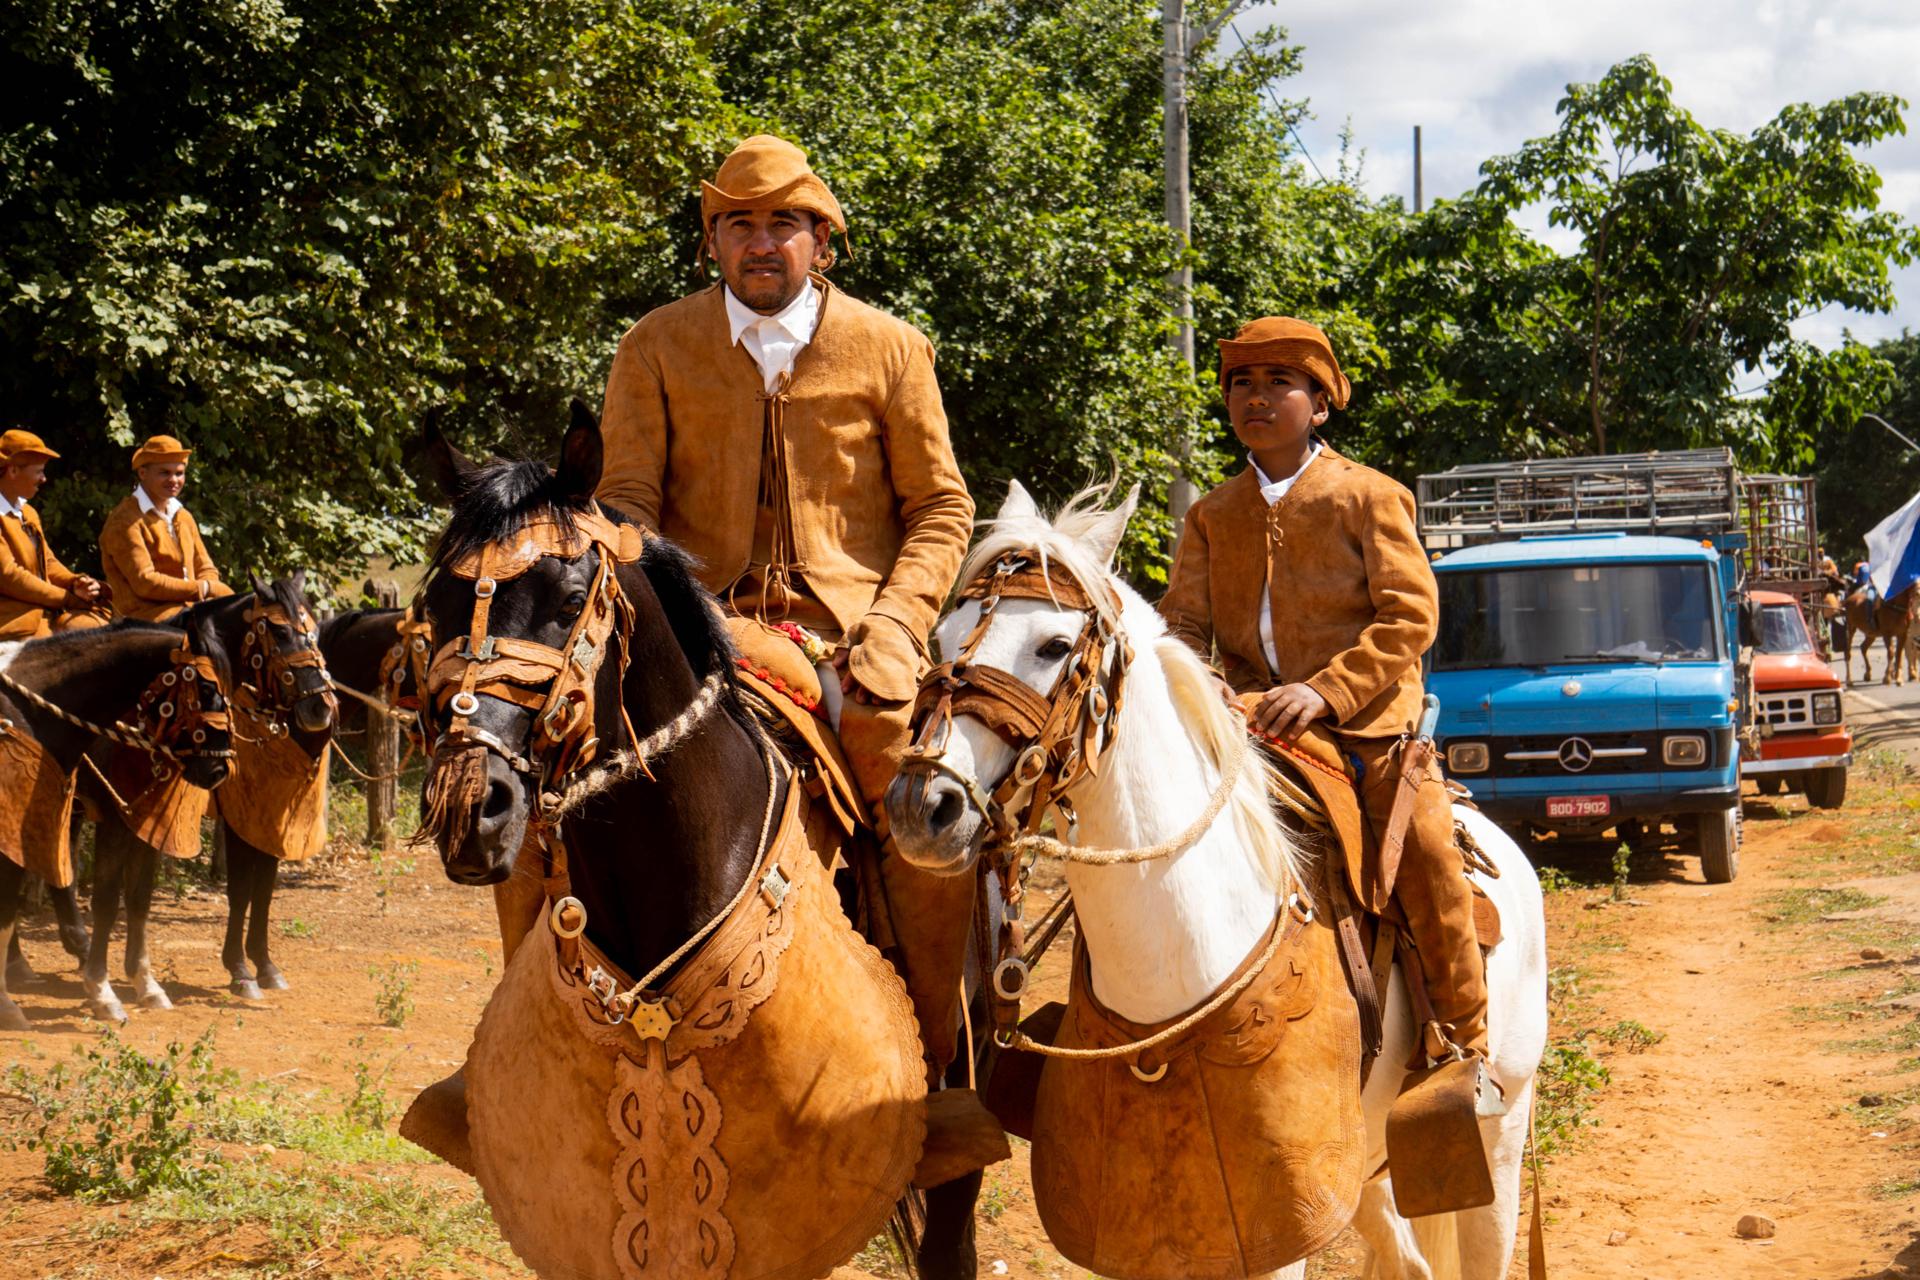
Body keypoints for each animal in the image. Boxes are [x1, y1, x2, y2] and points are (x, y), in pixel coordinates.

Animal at [0, 609, 236, 1030]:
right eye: (207, 689)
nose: (218, 770)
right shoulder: (104, 824)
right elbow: (106, 901)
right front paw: (101, 991)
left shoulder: (146, 825)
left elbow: (138, 898)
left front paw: (145, 984)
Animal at [71, 576, 334, 1019]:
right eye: (280, 632)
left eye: (313, 629)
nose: (320, 706)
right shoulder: (134, 819)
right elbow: (240, 890)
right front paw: (241, 971)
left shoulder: (261, 819)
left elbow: (262, 890)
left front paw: (264, 966)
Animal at [884, 481, 1550, 1280]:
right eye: (939, 643)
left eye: (1053, 645)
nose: (922, 806)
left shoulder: (1277, 1238)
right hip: (1364, 1169)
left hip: (1498, 1139)